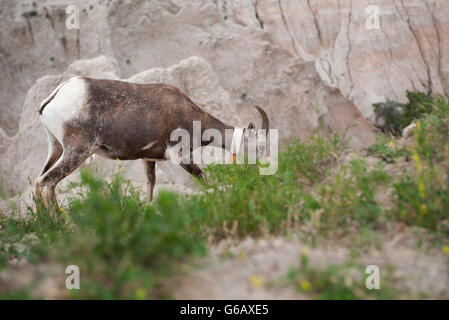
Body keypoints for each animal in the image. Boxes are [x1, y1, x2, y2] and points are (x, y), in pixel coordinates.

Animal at [35, 76, 268, 209]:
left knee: (40, 182)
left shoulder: (148, 159)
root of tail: (58, 94)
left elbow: (150, 188)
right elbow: (204, 180)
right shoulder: (181, 156)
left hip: (56, 149)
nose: (262, 171)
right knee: (46, 182)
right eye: (260, 146)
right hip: (77, 153)